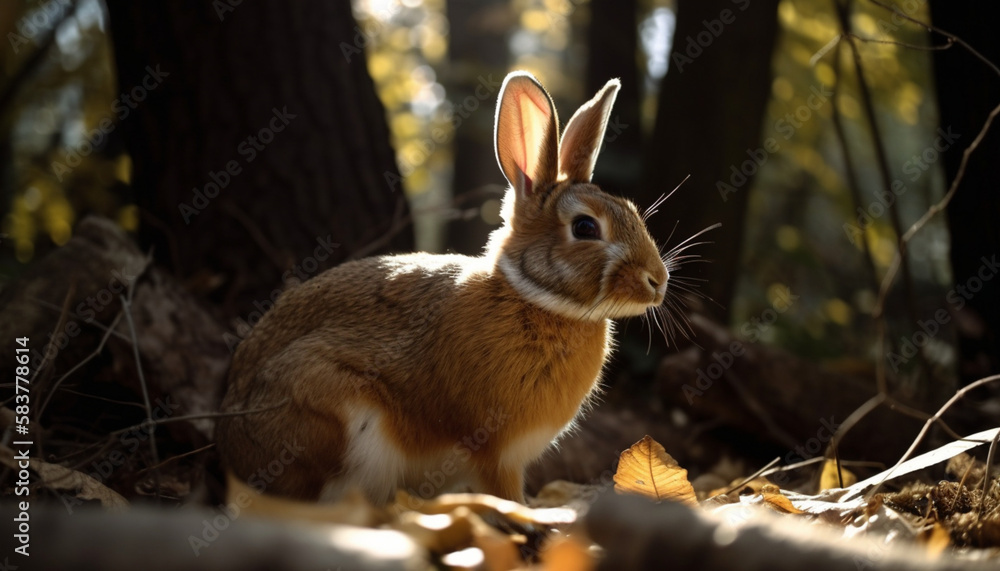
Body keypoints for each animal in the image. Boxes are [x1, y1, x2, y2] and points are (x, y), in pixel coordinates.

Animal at [215, 71, 669, 505]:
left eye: (631, 211)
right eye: (585, 227)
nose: (658, 282)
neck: (536, 300)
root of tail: (233, 451)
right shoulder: (495, 452)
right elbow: (505, 492)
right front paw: (527, 518)